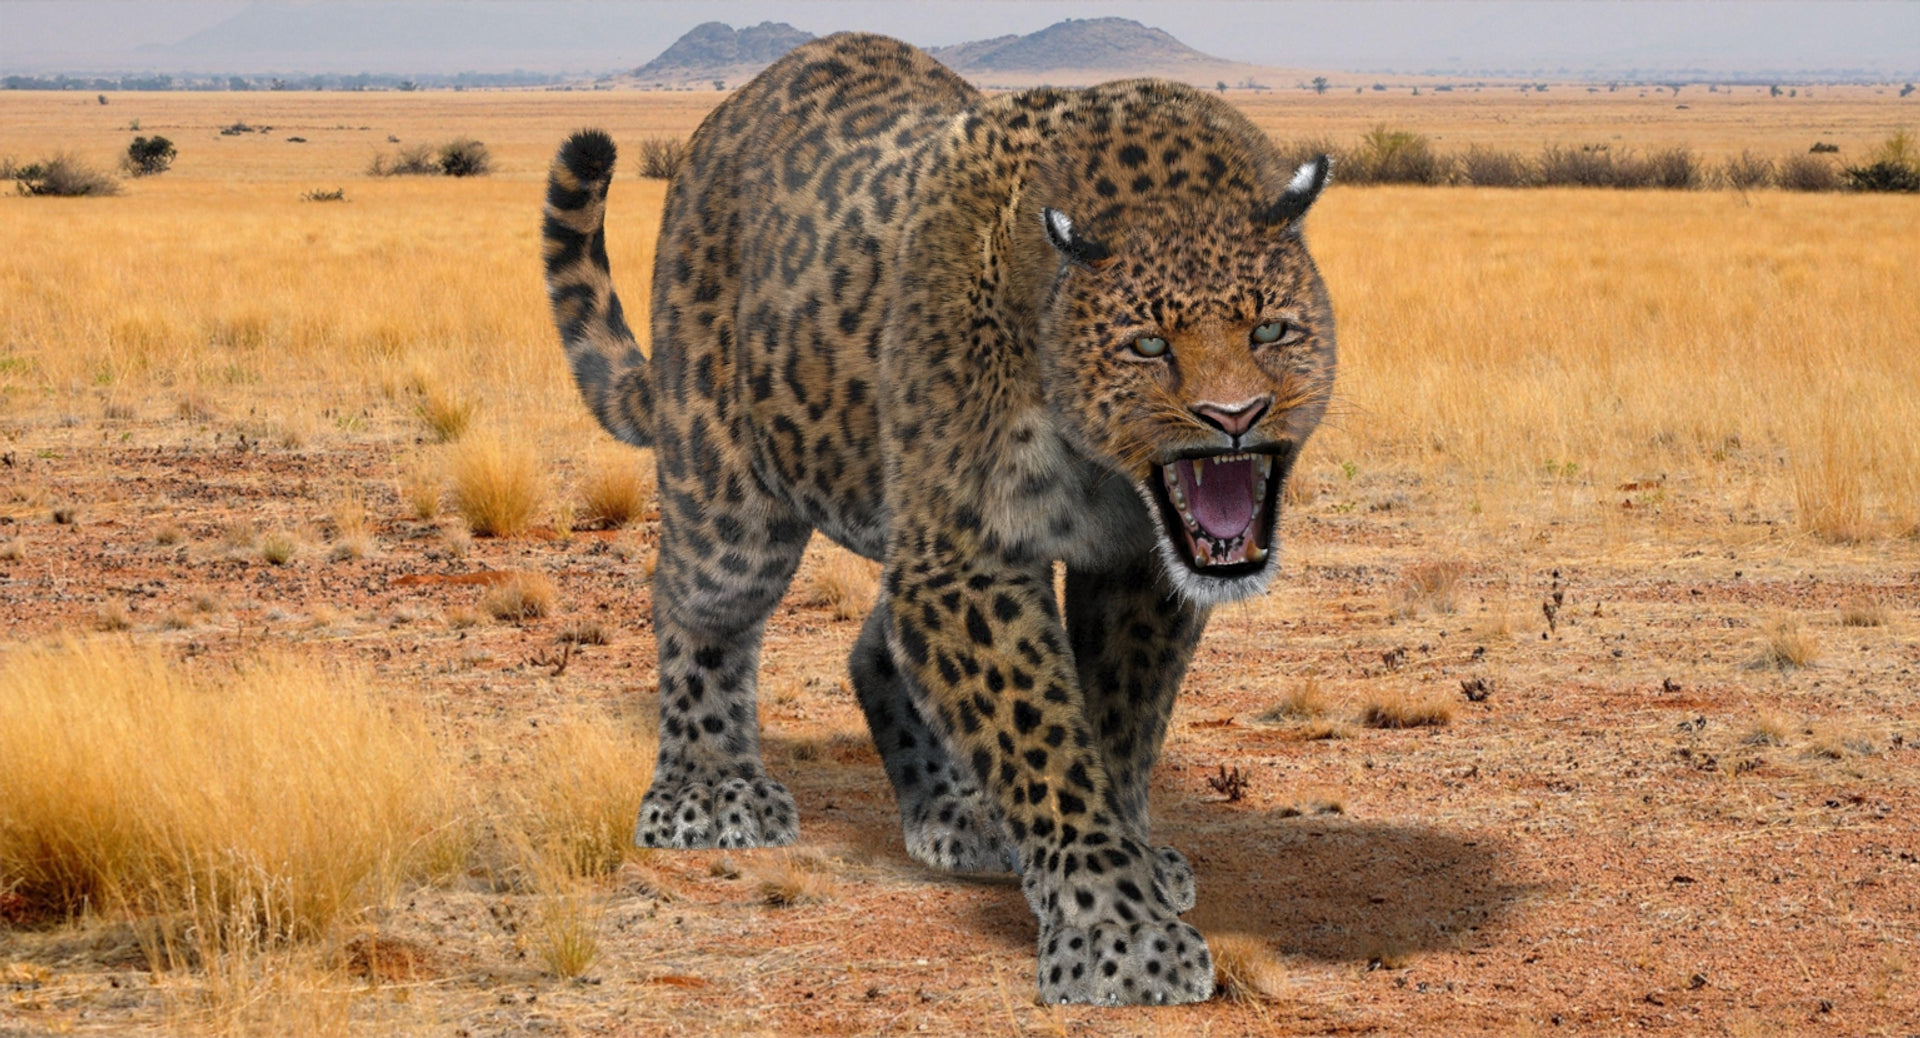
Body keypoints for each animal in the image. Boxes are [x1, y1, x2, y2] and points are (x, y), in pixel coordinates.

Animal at [542, 31, 1334, 1006]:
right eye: (1148, 344)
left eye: (1271, 331)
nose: (1235, 417)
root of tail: (733, 111)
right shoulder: (968, 553)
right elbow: (1041, 735)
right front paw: (1117, 931)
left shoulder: (1137, 565)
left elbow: (1117, 722)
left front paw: (1127, 867)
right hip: (728, 492)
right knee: (699, 612)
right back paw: (709, 791)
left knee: (875, 644)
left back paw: (959, 813)